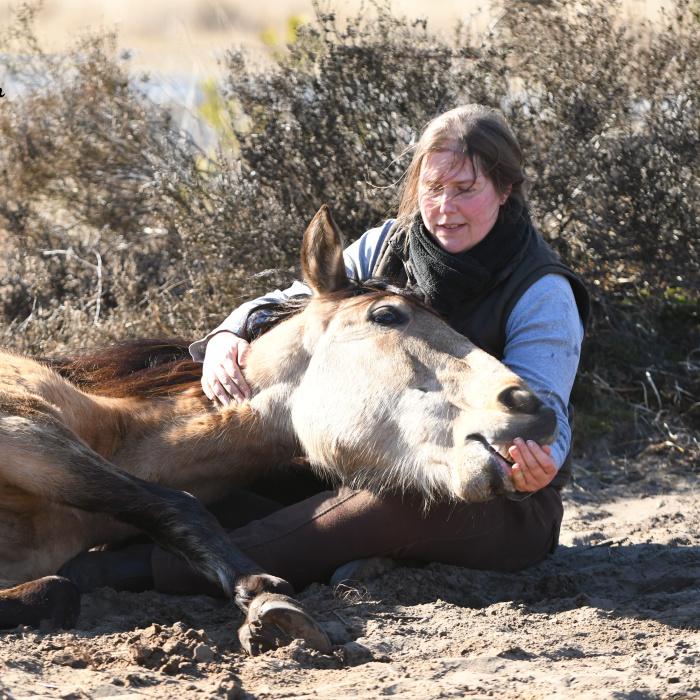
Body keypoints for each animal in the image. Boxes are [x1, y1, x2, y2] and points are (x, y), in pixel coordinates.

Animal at [0, 205, 558, 654]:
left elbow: (61, 585)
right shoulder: (22, 424)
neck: (112, 429)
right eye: (387, 315)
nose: (535, 409)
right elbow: (173, 504)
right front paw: (259, 588)